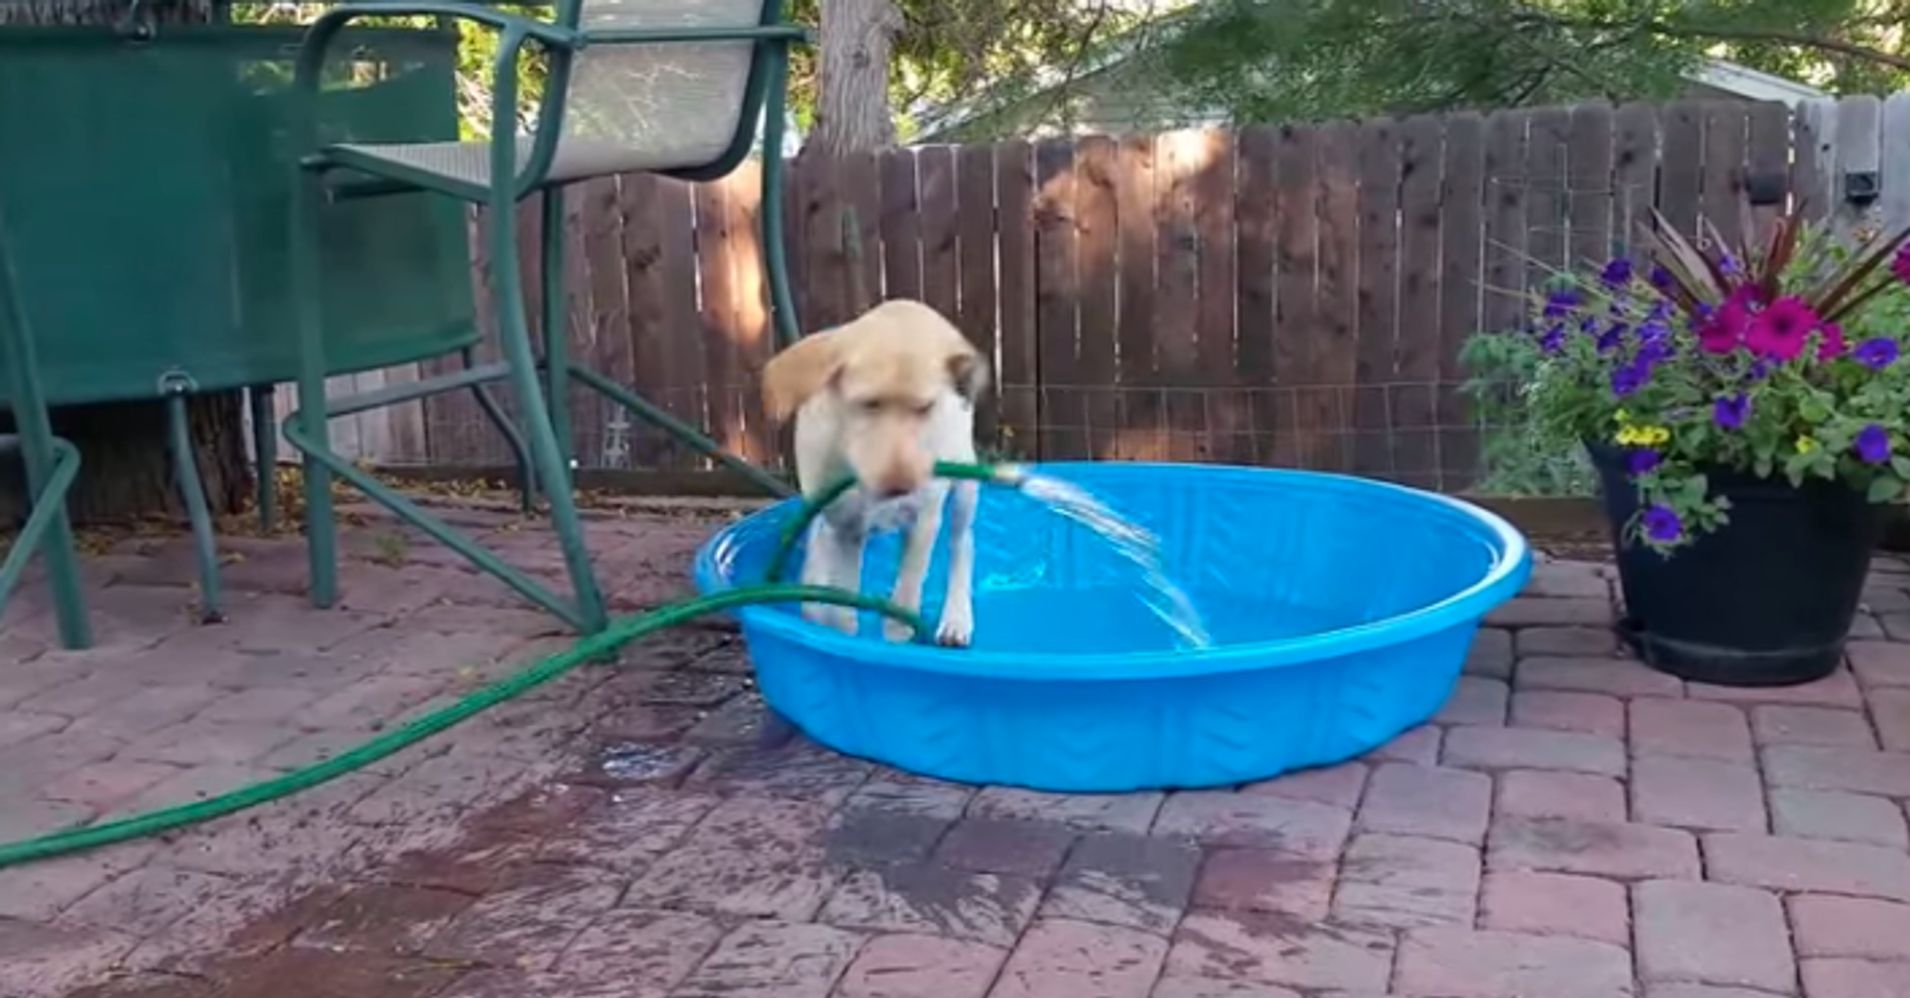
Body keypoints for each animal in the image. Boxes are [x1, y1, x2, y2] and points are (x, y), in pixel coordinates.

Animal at [760, 299, 993, 648]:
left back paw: (956, 619)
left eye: (925, 408)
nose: (901, 485)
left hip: (965, 482)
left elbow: (905, 592)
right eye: (869, 404)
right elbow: (841, 605)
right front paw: (841, 635)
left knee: (961, 545)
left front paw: (896, 638)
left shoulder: (923, 520)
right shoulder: (843, 527)